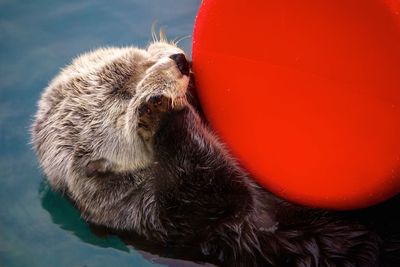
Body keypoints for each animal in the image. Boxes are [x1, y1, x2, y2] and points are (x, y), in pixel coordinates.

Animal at [32, 38, 398, 267]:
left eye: (142, 56)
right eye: (123, 92)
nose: (178, 61)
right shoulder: (173, 217)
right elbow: (219, 189)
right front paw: (158, 108)